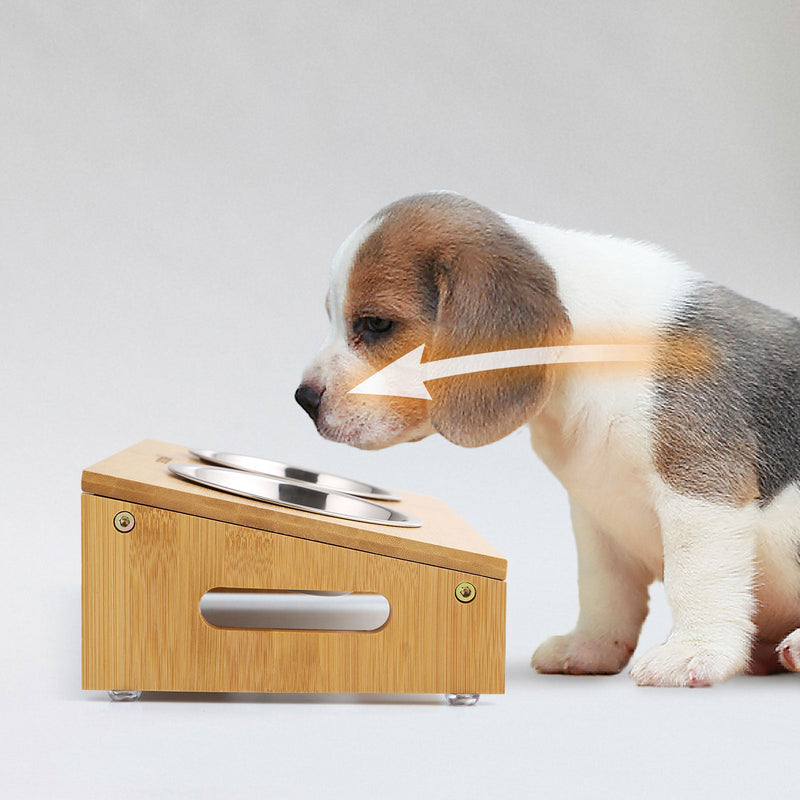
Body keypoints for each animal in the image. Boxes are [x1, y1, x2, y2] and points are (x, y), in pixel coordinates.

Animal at [296, 191, 800, 684]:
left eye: (376, 324)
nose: (303, 399)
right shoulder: (595, 512)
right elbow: (603, 591)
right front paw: (590, 646)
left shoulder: (700, 489)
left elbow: (695, 576)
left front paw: (693, 651)